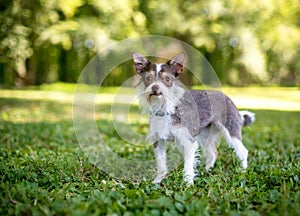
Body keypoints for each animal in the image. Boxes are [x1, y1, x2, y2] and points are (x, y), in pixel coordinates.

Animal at [132, 52, 254, 184]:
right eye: (148, 78)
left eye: (167, 79)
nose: (155, 88)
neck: (166, 109)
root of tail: (229, 99)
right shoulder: (158, 141)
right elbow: (161, 164)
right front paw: (158, 180)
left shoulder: (188, 142)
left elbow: (188, 166)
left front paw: (188, 183)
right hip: (205, 135)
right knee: (213, 153)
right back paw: (207, 171)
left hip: (230, 132)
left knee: (243, 152)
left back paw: (242, 172)